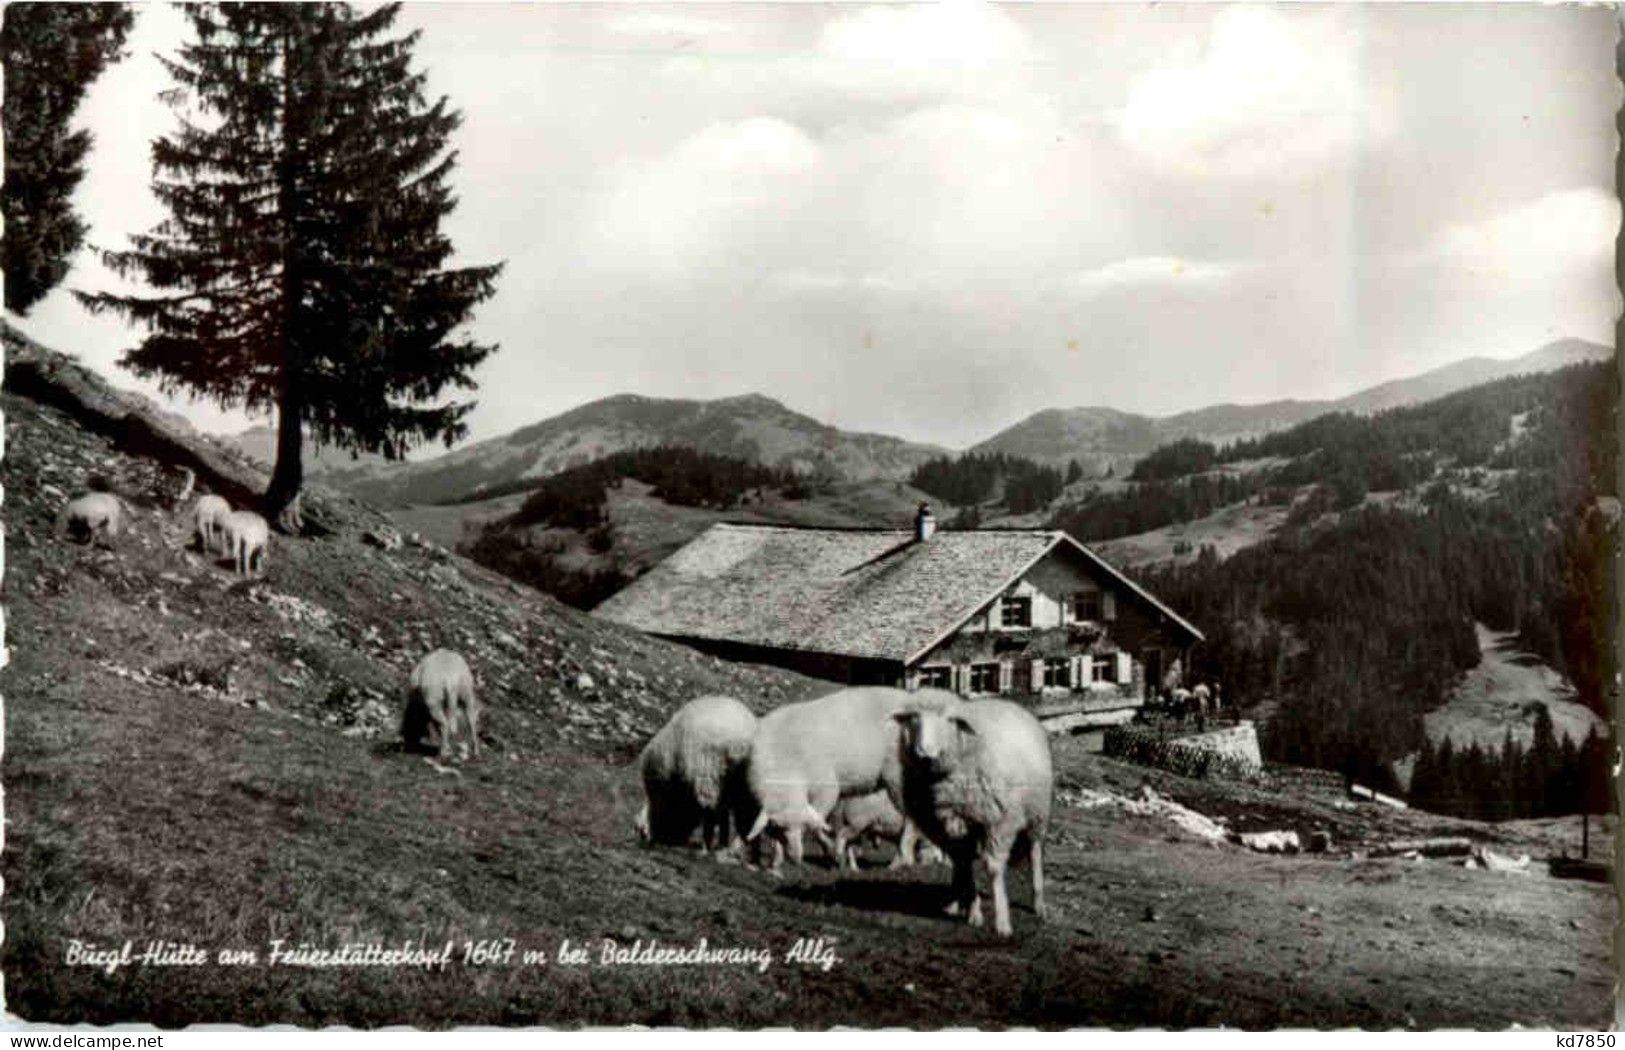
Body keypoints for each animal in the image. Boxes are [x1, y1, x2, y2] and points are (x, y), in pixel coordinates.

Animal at [637, 695, 757, 858]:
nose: (667, 840)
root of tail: (744, 738)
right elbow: (724, 817)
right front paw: (723, 843)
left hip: (707, 770)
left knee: (709, 810)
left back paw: (706, 847)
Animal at [741, 685, 955, 871]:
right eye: (780, 829)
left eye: (802, 826)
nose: (795, 858)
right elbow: (774, 833)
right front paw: (776, 862)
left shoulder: (826, 789)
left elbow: (818, 824)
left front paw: (833, 853)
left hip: (899, 774)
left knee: (911, 816)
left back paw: (903, 858)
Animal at [890, 702, 1053, 942]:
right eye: (914, 719)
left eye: (949, 720)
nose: (923, 753)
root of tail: (1013, 705)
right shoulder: (952, 828)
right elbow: (965, 868)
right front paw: (974, 912)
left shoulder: (998, 823)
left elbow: (994, 869)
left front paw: (1002, 923)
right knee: (960, 865)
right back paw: (954, 902)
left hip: (1036, 815)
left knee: (1035, 853)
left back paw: (1039, 903)